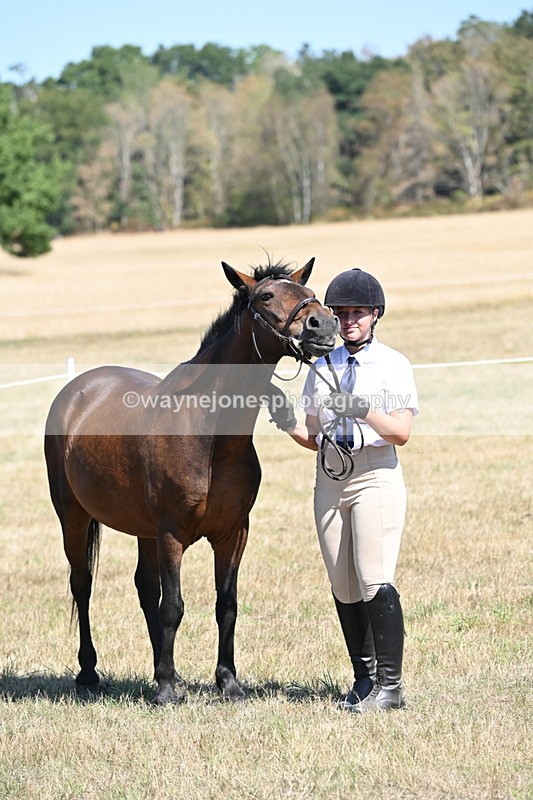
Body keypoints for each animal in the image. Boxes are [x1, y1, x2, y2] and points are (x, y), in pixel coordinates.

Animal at [44, 258, 338, 705]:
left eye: (309, 292)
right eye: (266, 296)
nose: (323, 324)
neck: (208, 433)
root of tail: (75, 391)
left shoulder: (234, 533)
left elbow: (225, 605)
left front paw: (227, 682)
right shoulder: (171, 533)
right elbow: (173, 606)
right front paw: (167, 690)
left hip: (142, 530)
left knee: (144, 588)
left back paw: (166, 673)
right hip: (73, 517)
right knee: (83, 585)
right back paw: (91, 672)